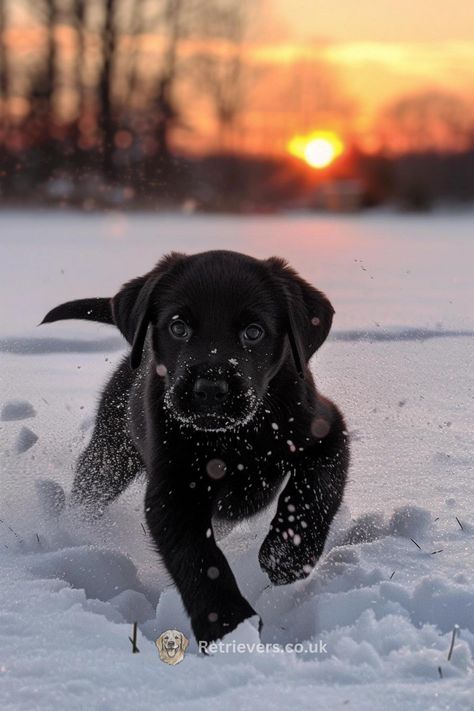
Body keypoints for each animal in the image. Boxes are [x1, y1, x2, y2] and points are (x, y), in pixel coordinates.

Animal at [42, 252, 350, 644]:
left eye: (253, 331)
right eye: (178, 327)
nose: (210, 389)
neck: (235, 437)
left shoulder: (326, 429)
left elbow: (315, 492)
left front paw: (286, 555)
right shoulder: (173, 490)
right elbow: (199, 559)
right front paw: (230, 626)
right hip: (110, 455)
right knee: (90, 489)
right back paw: (74, 533)